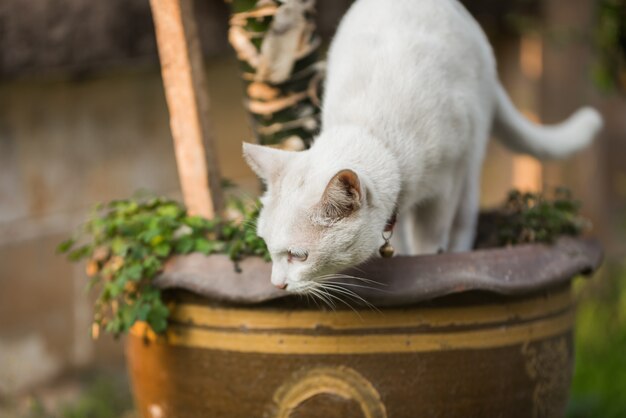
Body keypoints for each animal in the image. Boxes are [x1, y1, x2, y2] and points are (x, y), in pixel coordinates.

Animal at [240, 0, 600, 290]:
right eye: (268, 248)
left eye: (298, 256)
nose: (276, 285)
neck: (372, 131)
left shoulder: (444, 187)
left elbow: (431, 239)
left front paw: (427, 265)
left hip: (471, 157)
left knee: (465, 216)